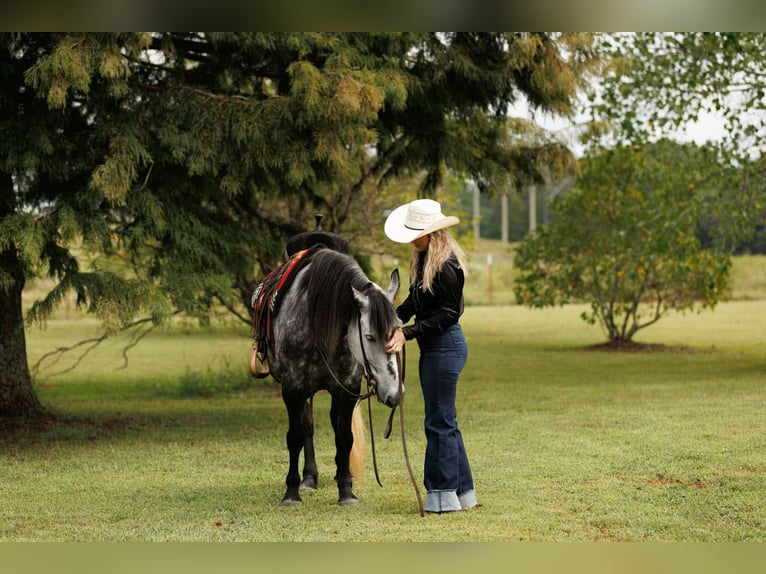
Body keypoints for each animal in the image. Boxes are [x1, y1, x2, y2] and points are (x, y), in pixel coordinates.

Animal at [260, 246, 403, 506]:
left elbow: (344, 436)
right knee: (307, 428)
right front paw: (291, 492)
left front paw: (346, 490)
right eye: (369, 336)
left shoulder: (347, 389)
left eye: (398, 331)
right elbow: (295, 437)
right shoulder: (292, 389)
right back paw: (308, 479)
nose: (395, 394)